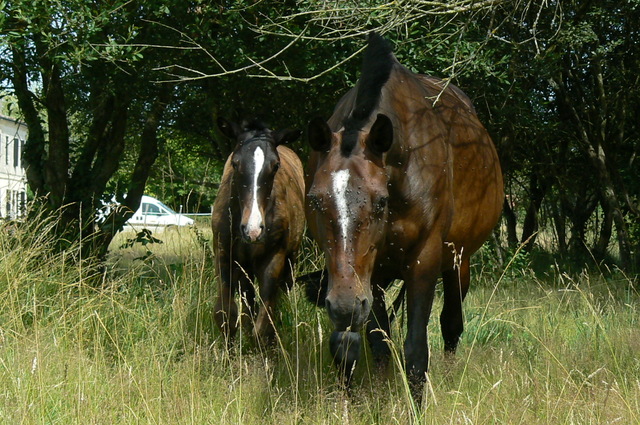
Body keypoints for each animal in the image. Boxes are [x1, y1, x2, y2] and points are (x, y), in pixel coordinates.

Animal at [214, 117, 306, 342]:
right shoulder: (224, 254)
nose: (253, 229)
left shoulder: (274, 258)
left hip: (290, 260)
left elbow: (264, 324)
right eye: (235, 163)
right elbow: (225, 314)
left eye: (276, 165)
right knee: (248, 295)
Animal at [306, 34, 504, 392]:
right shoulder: (368, 276)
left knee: (451, 323)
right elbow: (371, 342)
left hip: (458, 262)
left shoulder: (423, 262)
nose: (343, 306)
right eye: (315, 201)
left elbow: (415, 349)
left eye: (380, 202)